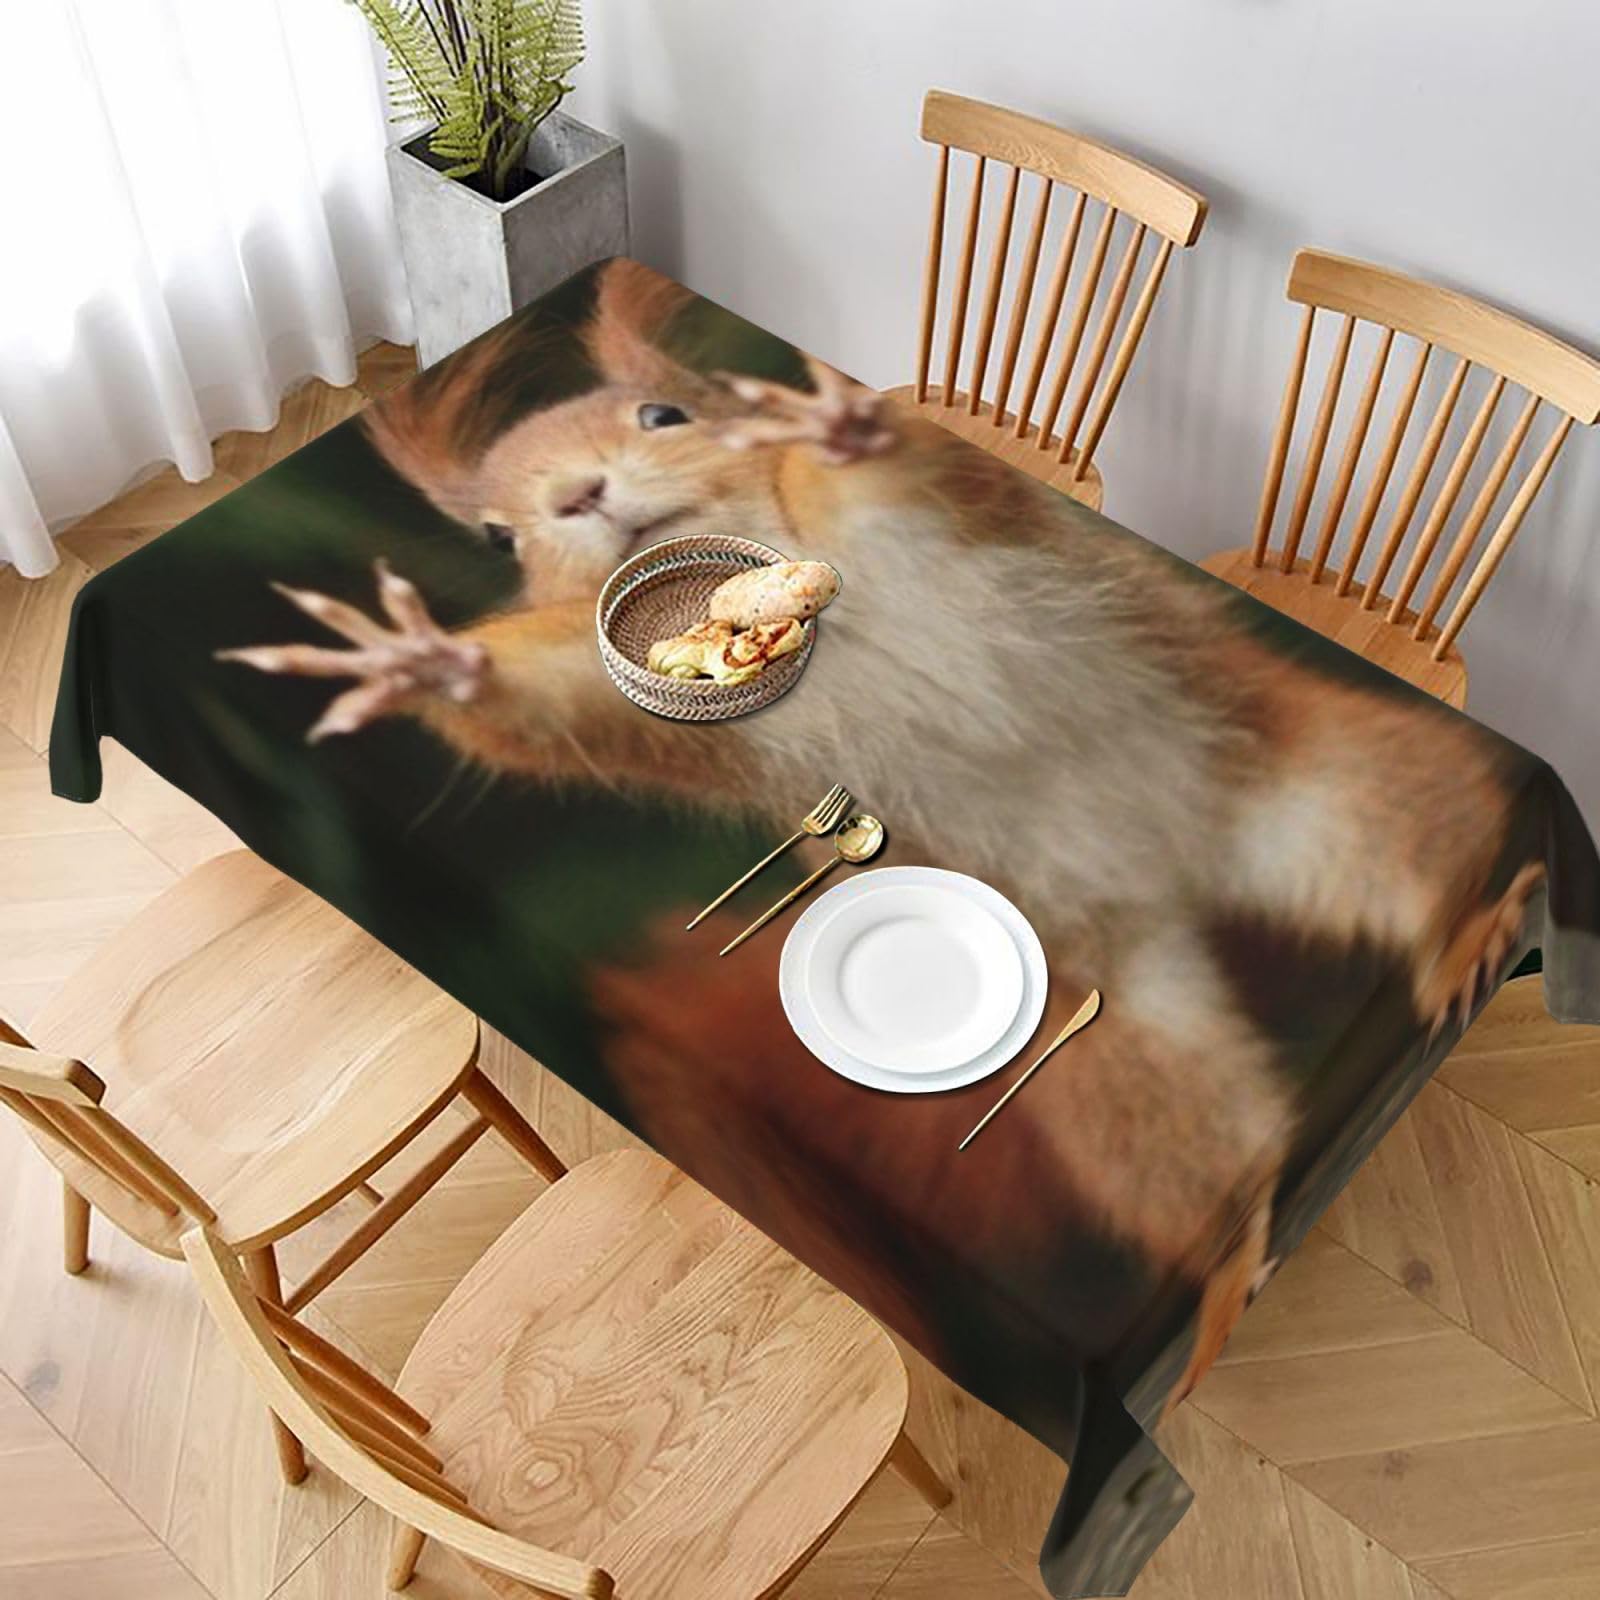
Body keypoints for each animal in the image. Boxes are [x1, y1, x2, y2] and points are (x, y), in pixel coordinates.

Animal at [222, 259, 1543, 1406]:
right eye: (499, 537)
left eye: (667, 411)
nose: (579, 496)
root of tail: (1182, 874)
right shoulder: (655, 721)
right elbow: (549, 701)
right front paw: (427, 663)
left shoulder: (961, 513)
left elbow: (901, 476)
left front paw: (838, 433)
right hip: (1136, 1067)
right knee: (1211, 1162)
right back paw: (1222, 1278)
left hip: (1343, 786)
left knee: (1431, 852)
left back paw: (1466, 933)